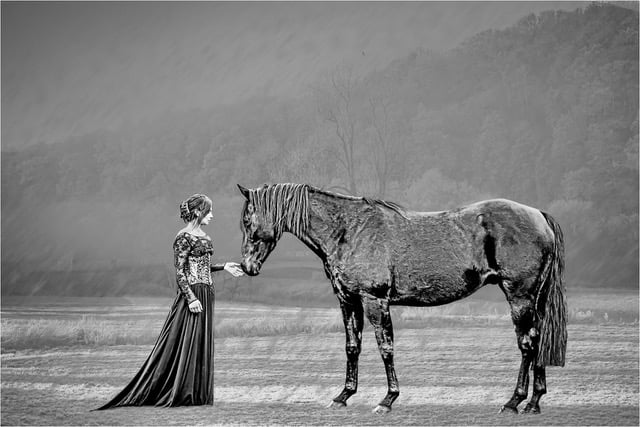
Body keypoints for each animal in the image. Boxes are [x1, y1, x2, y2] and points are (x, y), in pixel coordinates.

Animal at [236, 183, 567, 415]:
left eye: (248, 222)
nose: (247, 266)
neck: (347, 230)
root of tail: (539, 216)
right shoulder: (348, 301)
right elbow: (352, 347)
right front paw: (343, 396)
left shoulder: (375, 300)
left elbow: (386, 347)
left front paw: (387, 399)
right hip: (534, 300)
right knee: (537, 340)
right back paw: (534, 402)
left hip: (519, 297)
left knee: (527, 344)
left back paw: (513, 402)